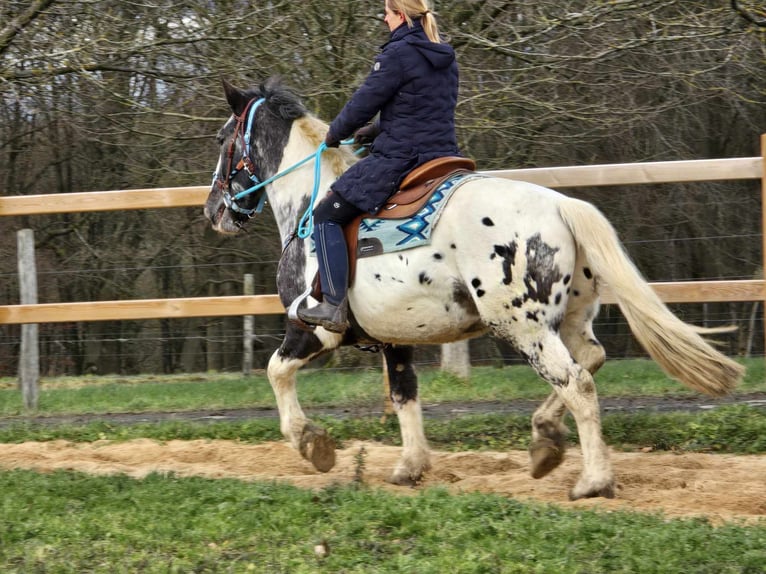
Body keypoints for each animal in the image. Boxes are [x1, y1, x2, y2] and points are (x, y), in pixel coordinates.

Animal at [202, 79, 744, 502]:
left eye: (224, 138)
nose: (214, 210)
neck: (310, 205)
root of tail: (563, 206)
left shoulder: (313, 329)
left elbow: (276, 372)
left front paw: (313, 444)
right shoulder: (396, 340)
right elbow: (404, 396)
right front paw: (411, 467)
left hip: (524, 328)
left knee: (576, 383)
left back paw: (593, 481)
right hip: (568, 321)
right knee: (591, 360)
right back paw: (545, 442)